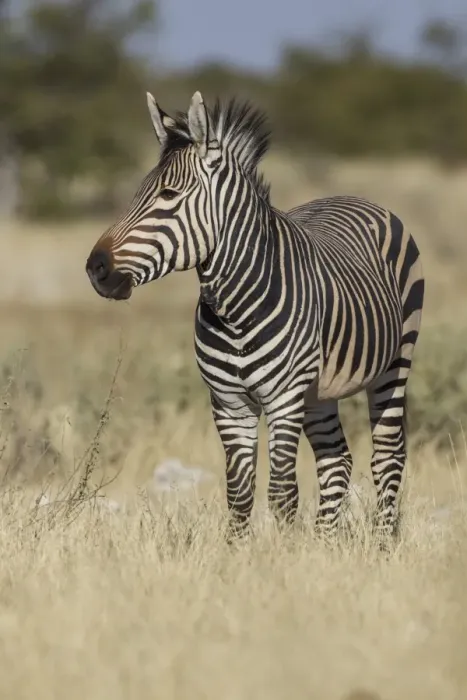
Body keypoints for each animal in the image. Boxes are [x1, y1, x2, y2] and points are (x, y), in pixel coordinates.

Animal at [86, 91, 424, 540]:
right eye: (138, 193)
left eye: (169, 195)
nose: (95, 268)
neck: (234, 309)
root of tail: (352, 196)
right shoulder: (229, 403)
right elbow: (239, 494)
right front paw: (238, 552)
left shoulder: (282, 398)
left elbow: (281, 492)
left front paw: (281, 554)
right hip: (317, 391)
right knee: (336, 461)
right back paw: (324, 543)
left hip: (394, 363)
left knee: (387, 457)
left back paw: (382, 545)